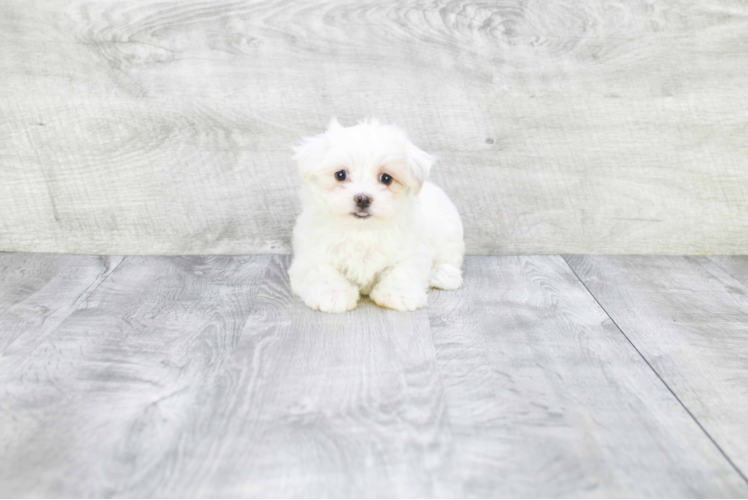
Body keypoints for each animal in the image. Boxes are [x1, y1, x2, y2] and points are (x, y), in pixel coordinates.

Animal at [286, 118, 462, 312]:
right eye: (340, 175)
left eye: (386, 178)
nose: (363, 198)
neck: (362, 230)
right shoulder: (311, 254)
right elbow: (321, 271)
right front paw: (333, 294)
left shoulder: (412, 249)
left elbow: (403, 269)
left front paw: (399, 293)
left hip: (448, 233)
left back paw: (443, 274)